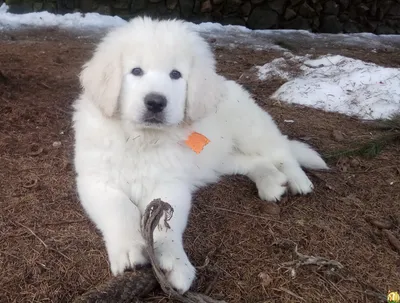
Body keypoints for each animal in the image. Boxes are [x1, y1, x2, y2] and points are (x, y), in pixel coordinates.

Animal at [72, 16, 328, 294]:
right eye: (136, 71)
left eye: (175, 74)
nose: (155, 102)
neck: (143, 139)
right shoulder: (97, 180)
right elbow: (120, 209)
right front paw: (130, 251)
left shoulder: (172, 184)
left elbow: (166, 225)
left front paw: (176, 263)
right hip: (218, 157)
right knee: (254, 161)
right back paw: (271, 182)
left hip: (250, 128)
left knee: (281, 149)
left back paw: (298, 180)